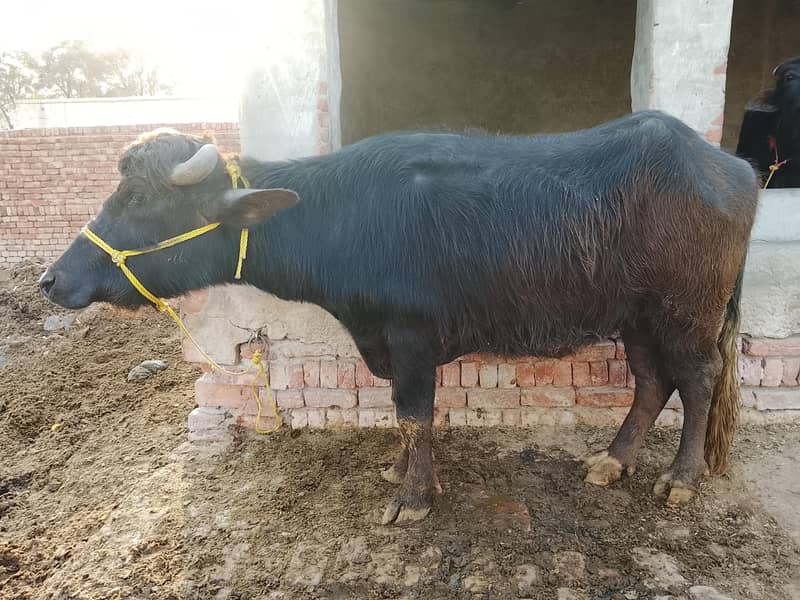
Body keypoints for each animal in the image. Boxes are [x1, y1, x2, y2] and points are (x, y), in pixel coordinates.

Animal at [41, 111, 758, 524]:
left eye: (137, 198)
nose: (53, 280)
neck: (340, 218)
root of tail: (736, 167)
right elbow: (400, 416)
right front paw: (402, 472)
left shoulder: (411, 339)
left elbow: (415, 414)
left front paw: (411, 498)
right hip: (637, 316)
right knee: (651, 382)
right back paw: (612, 461)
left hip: (688, 313)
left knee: (697, 380)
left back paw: (681, 480)